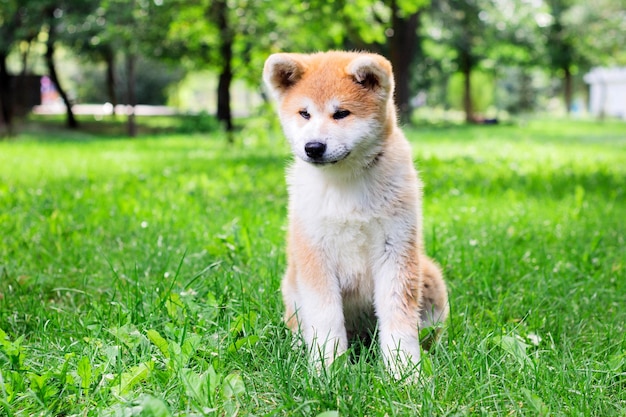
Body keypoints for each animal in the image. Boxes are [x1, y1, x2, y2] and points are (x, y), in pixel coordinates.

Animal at [260, 50, 446, 372]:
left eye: (341, 113)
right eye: (304, 113)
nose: (313, 146)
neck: (345, 183)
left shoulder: (395, 247)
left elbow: (398, 317)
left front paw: (405, 371)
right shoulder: (314, 253)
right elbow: (325, 318)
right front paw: (328, 369)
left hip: (429, 275)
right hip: (292, 284)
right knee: (297, 324)